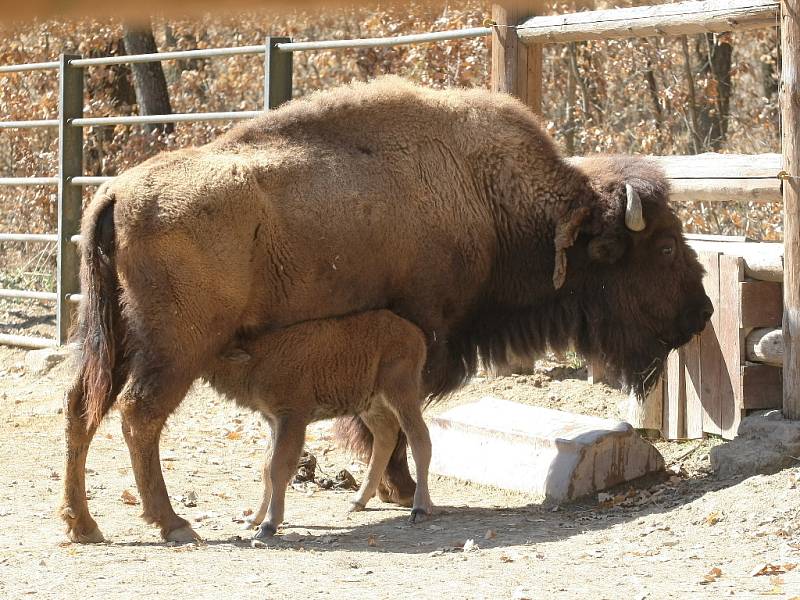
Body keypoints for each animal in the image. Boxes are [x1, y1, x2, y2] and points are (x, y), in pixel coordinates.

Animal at [205, 310, 432, 540]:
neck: (258, 357)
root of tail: (414, 333)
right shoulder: (273, 422)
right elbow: (266, 468)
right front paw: (253, 519)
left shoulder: (292, 420)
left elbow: (278, 468)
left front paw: (268, 525)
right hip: (370, 403)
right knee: (385, 436)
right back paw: (357, 502)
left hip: (400, 392)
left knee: (419, 438)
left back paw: (419, 509)